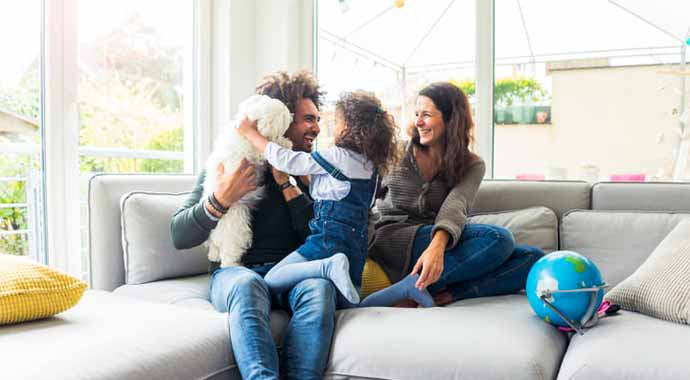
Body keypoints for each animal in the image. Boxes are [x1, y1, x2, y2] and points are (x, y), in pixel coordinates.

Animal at [203, 95, 292, 268]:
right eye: (284, 120)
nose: (292, 116)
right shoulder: (254, 151)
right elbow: (268, 146)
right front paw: (285, 142)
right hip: (238, 227)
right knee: (230, 253)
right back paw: (232, 265)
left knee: (214, 246)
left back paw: (213, 255)